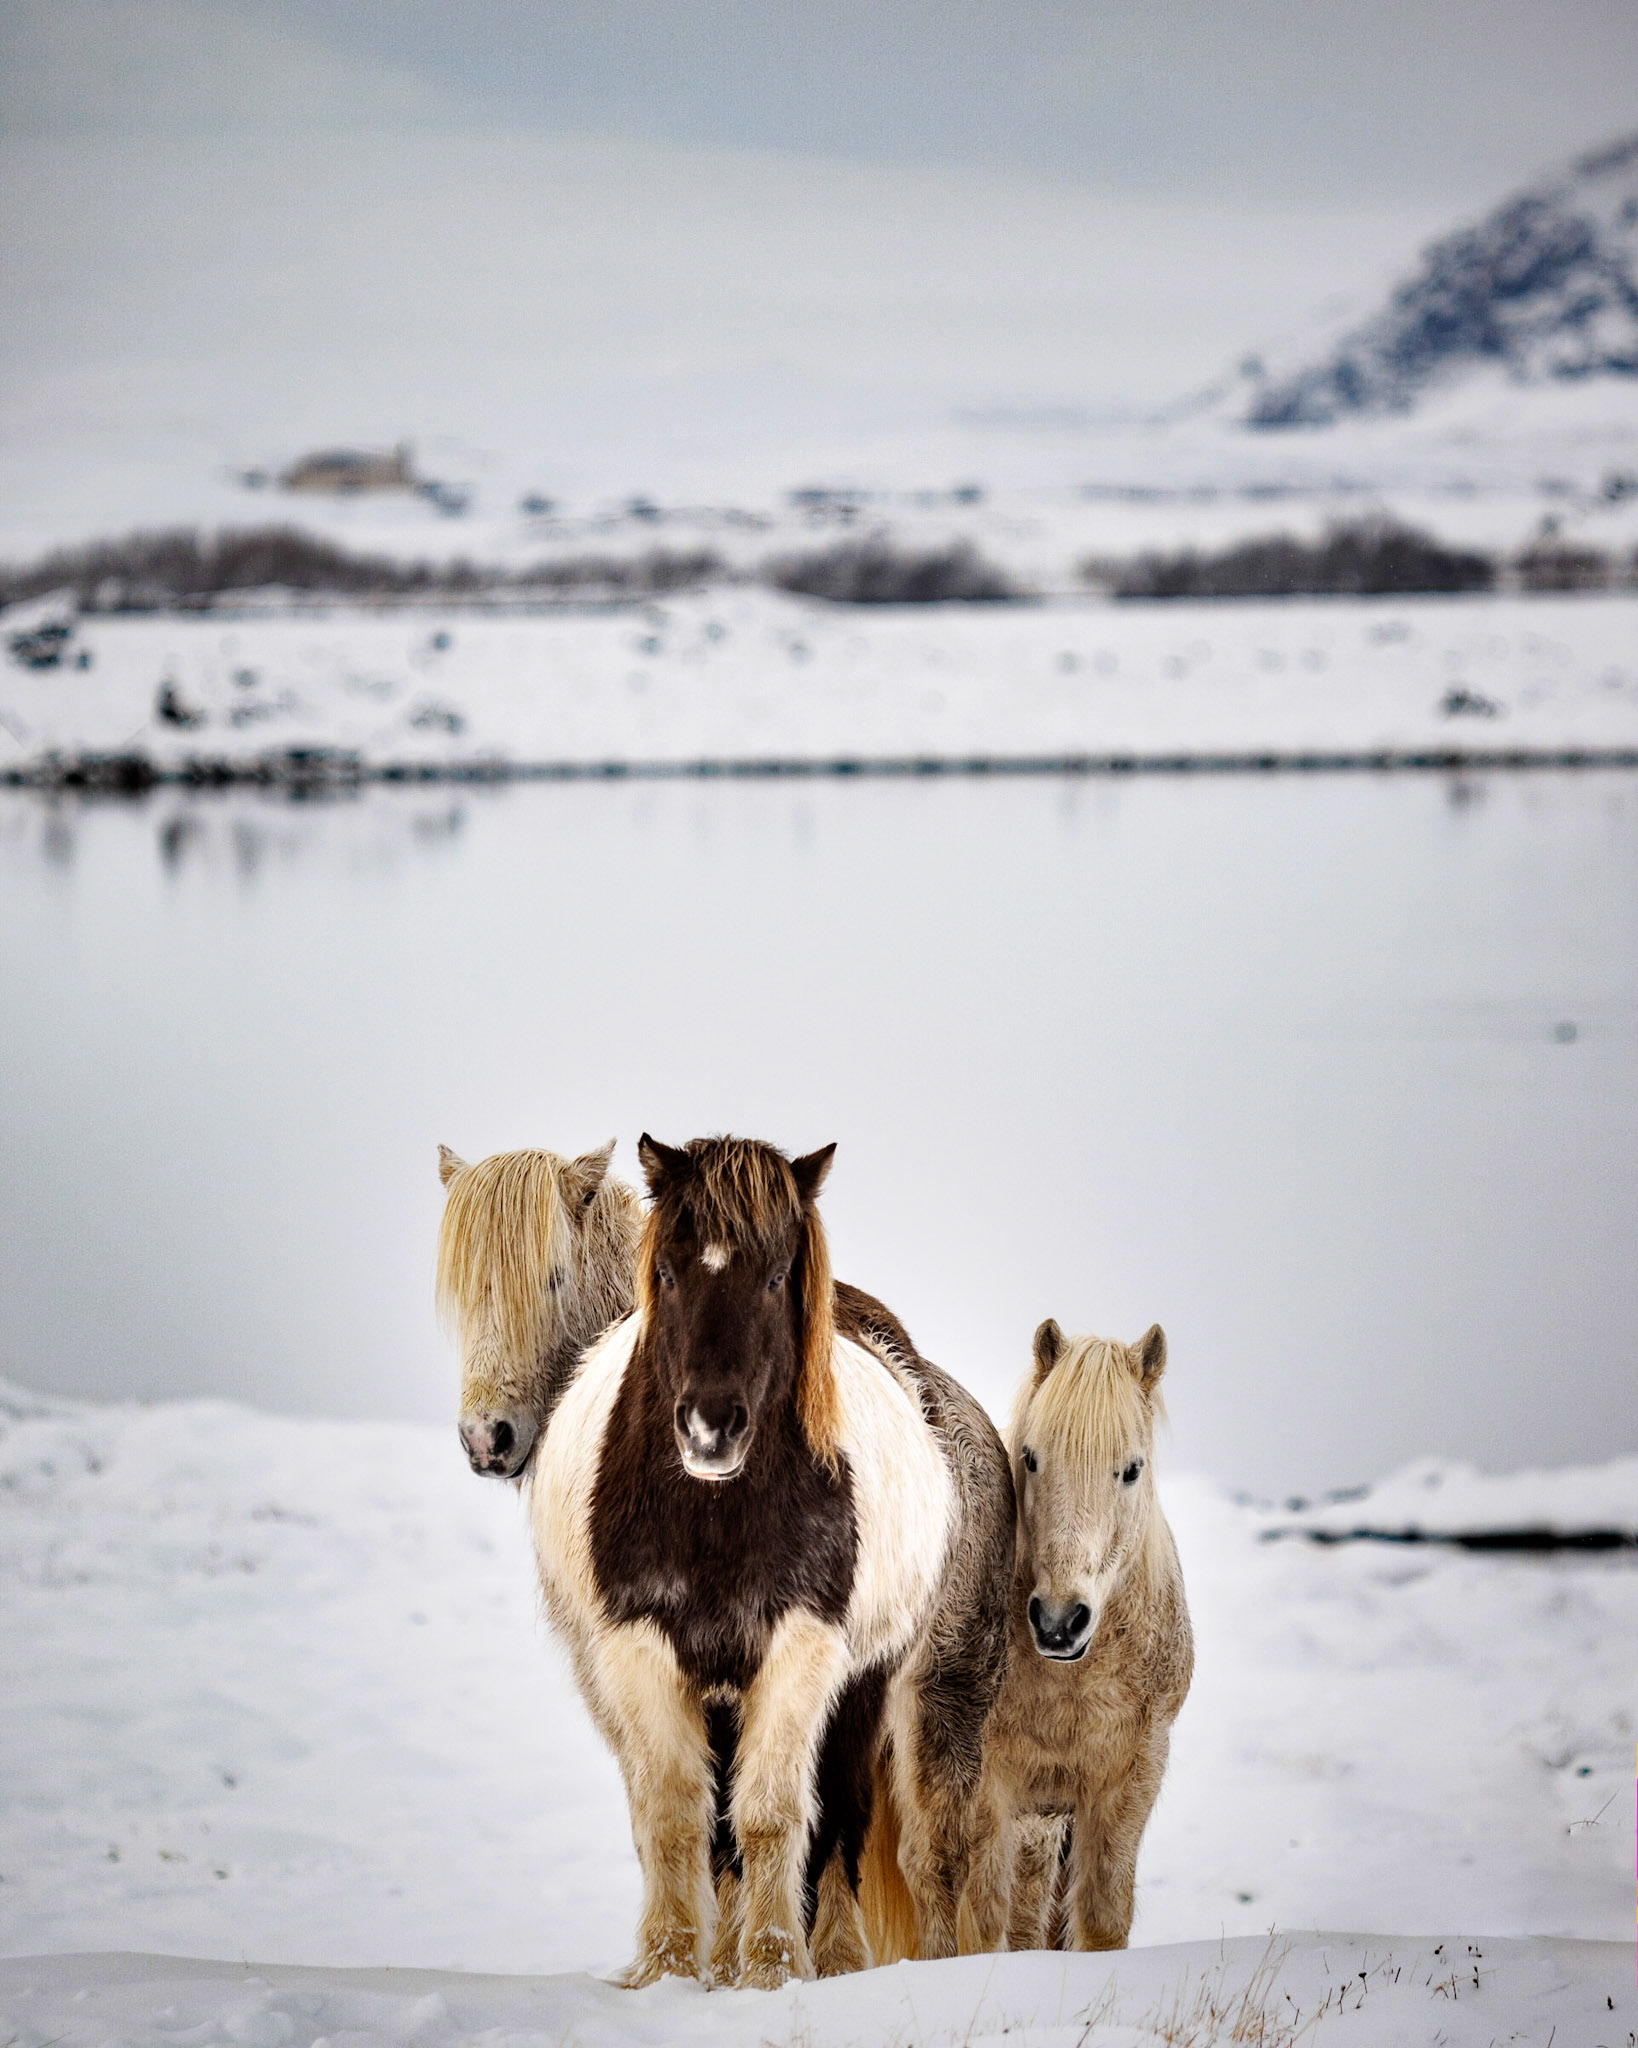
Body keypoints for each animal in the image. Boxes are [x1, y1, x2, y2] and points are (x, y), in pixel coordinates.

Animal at [528, 1134, 1014, 1989]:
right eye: (667, 1271)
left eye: (778, 1274)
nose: (710, 1426)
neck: (714, 1515)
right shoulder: (638, 1649)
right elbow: (675, 1815)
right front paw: (668, 1968)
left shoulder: (801, 1650)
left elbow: (774, 1817)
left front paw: (772, 1966)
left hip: (867, 1689)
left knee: (842, 1818)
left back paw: (838, 1959)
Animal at [956, 1318, 1192, 1955]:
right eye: (1031, 1459)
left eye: (1132, 1468)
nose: (1059, 1621)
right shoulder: (986, 1791)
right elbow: (978, 1924)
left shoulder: (1126, 1784)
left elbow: (1101, 1920)